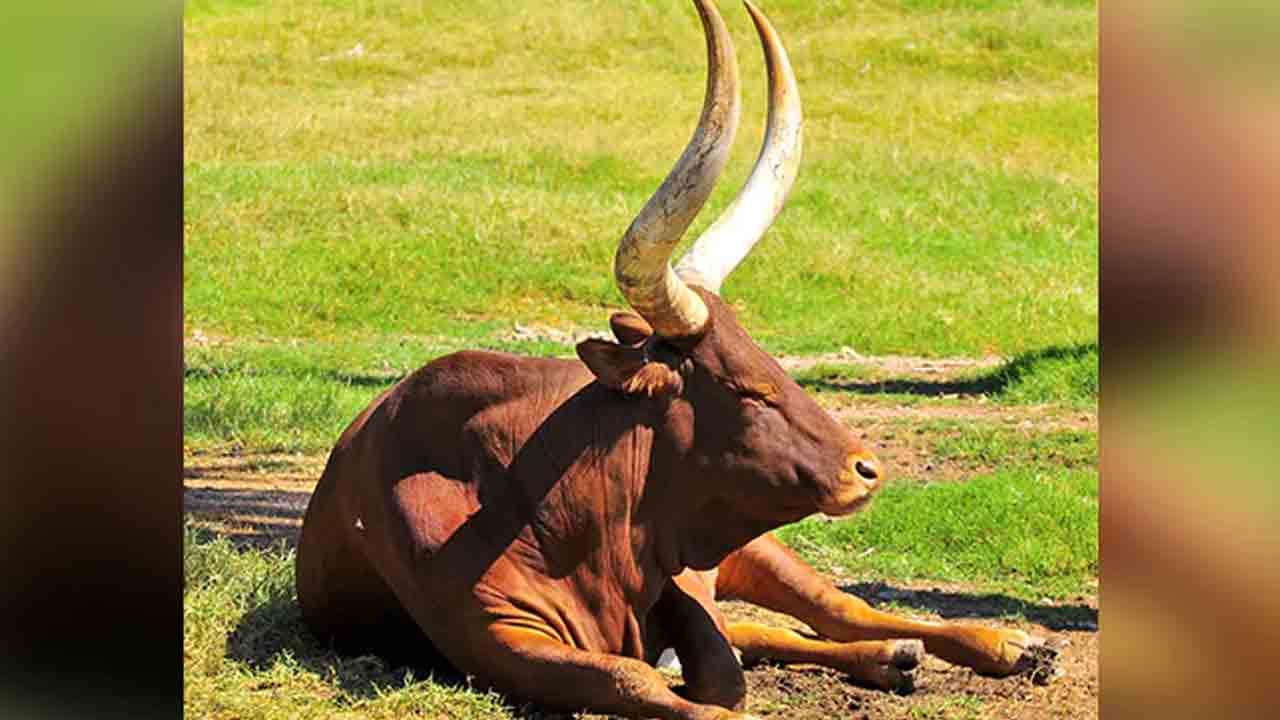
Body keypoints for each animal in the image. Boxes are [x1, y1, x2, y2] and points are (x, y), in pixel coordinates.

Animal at [296, 2, 1054, 718]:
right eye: (749, 389)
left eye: (777, 366)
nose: (865, 469)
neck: (546, 500)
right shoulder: (501, 639)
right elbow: (643, 680)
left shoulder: (681, 581)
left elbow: (716, 664)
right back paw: (895, 657)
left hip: (758, 549)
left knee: (839, 608)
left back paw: (1004, 644)